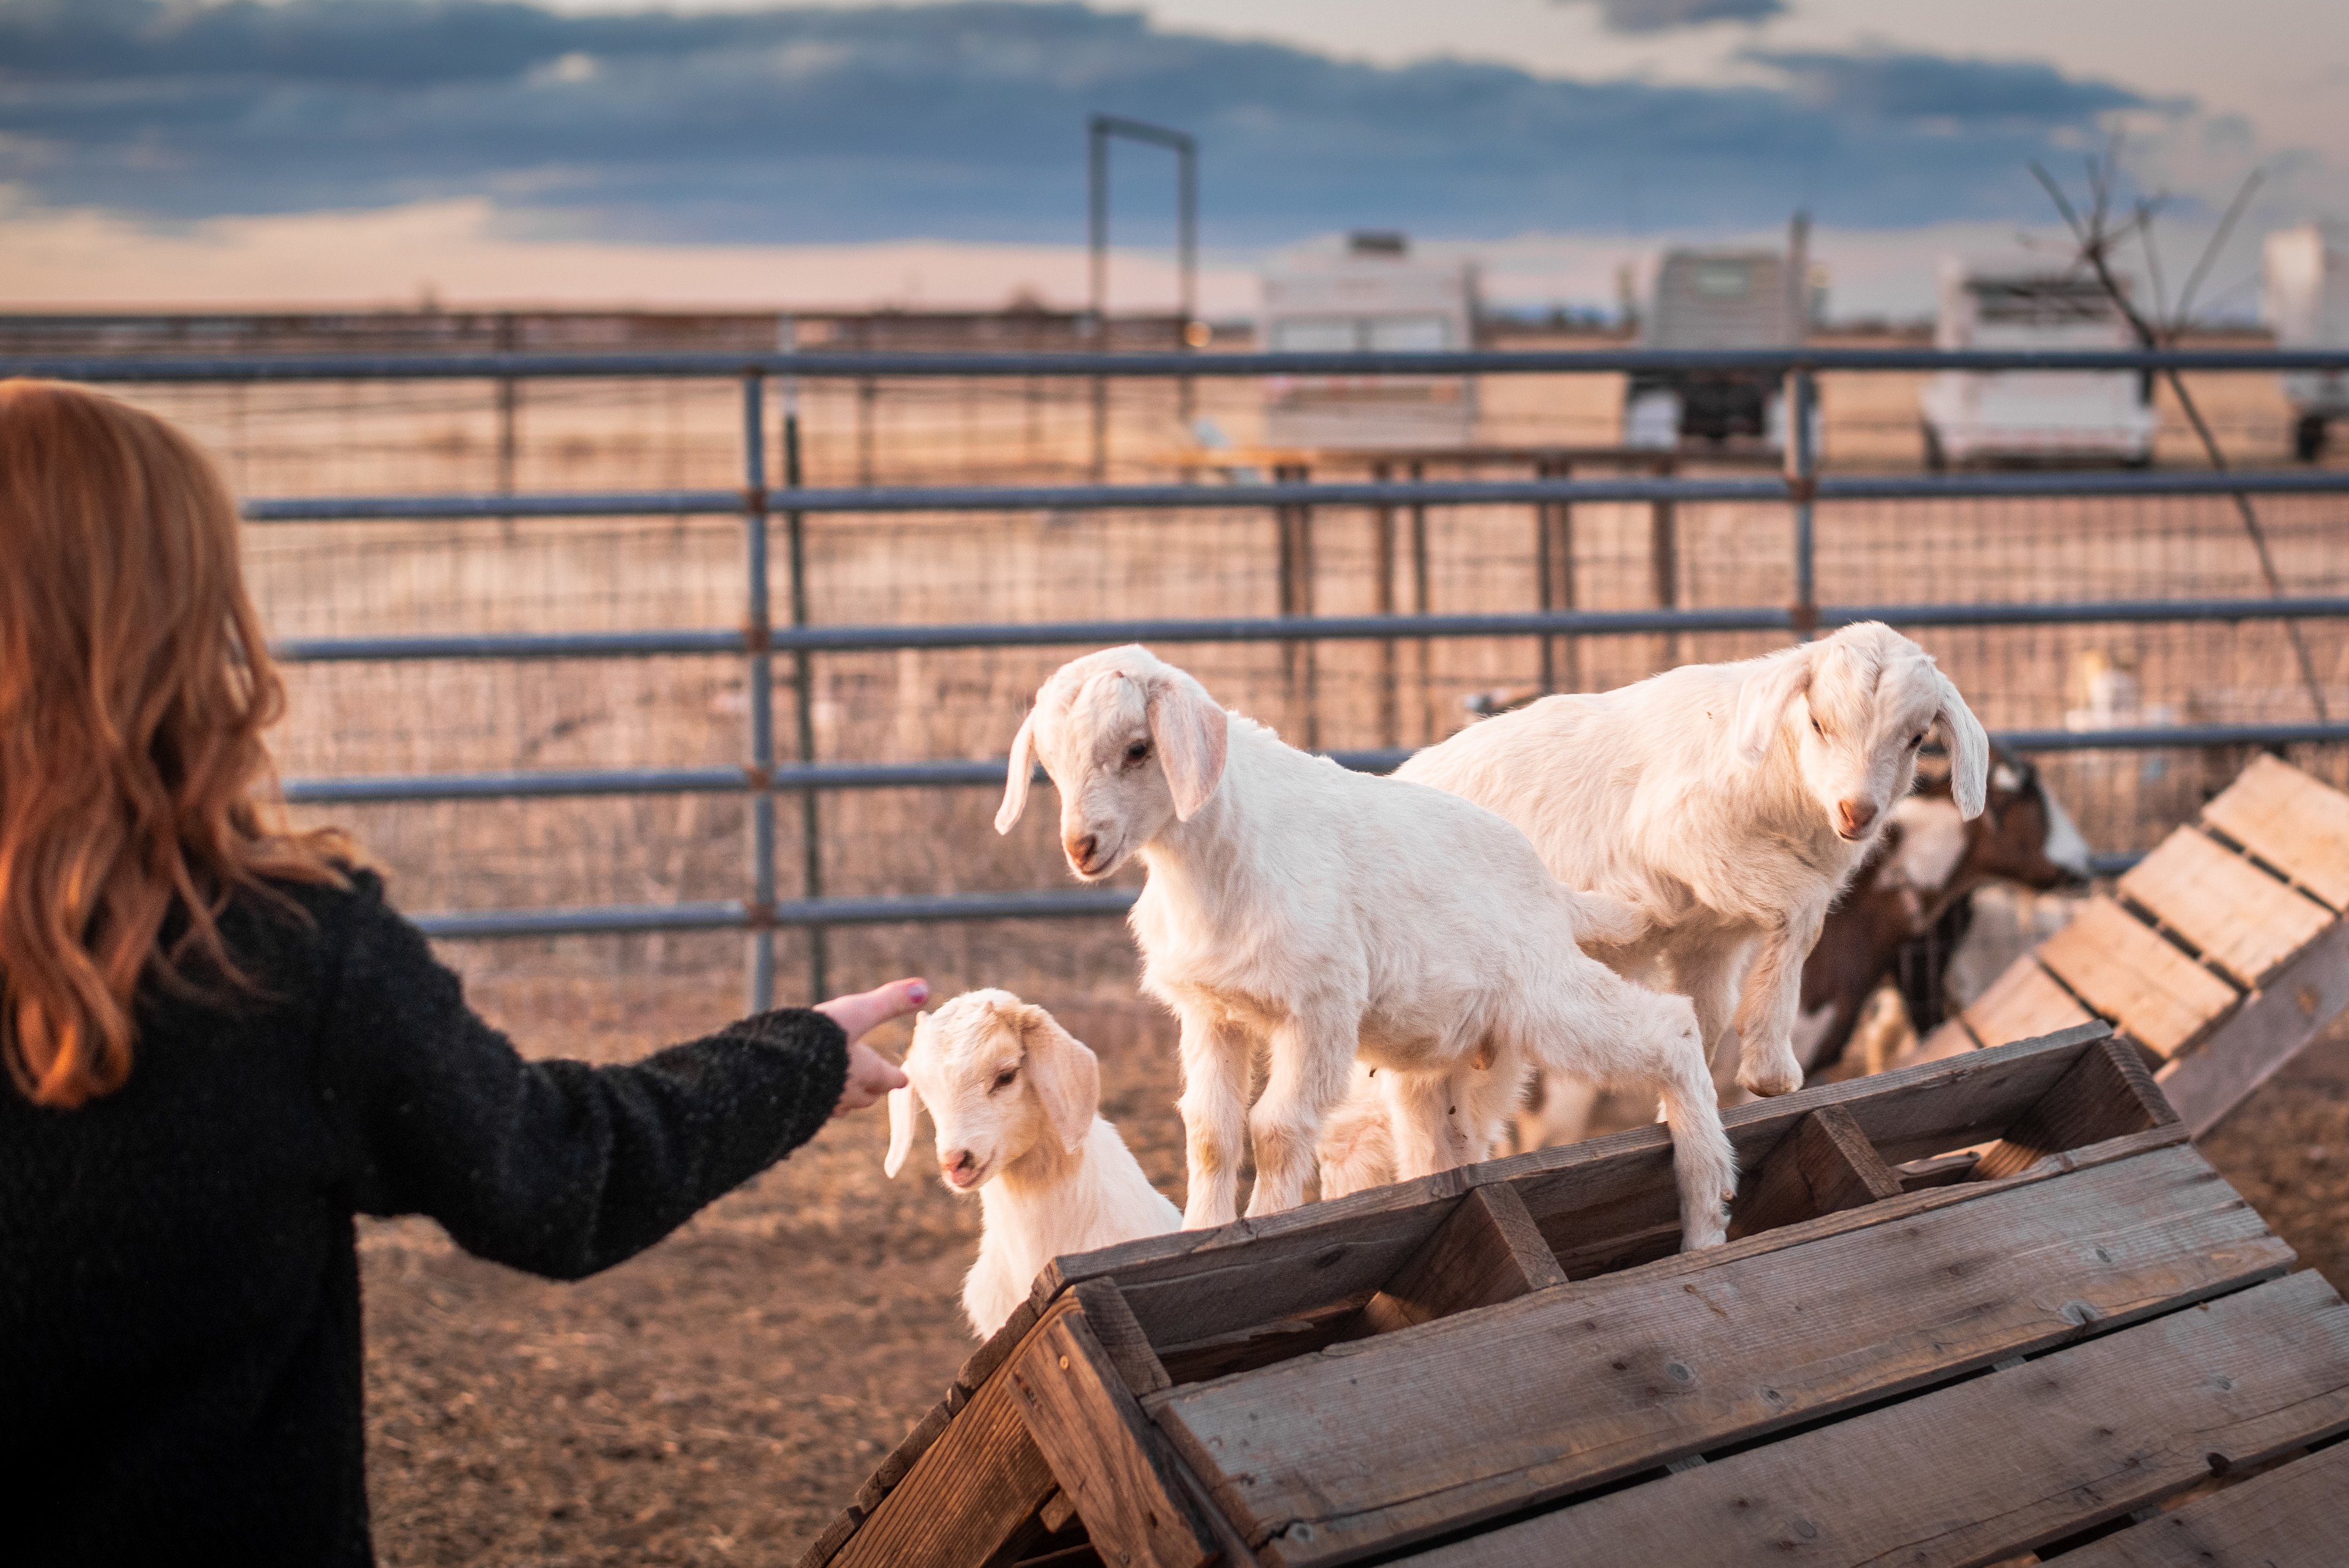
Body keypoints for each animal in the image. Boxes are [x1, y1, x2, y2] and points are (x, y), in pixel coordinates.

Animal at [994, 645, 1737, 1247]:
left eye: (1139, 748)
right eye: (1049, 765)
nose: (1081, 846)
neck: (1220, 860)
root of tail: (1552, 890)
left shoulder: (1319, 1007)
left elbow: (1276, 1128)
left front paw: (1266, 1223)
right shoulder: (1211, 1011)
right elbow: (1209, 1133)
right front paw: (1201, 1233)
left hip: (1547, 995)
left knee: (1670, 1027)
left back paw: (1706, 1208)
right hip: (1449, 1057)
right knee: (1449, 1140)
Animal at [1400, 621, 1990, 1109]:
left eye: (1917, 738)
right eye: (1819, 723)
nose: (1857, 811)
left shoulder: (1710, 936)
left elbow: (1707, 1014)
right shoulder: (1683, 835)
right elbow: (1804, 911)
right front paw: (1771, 1070)